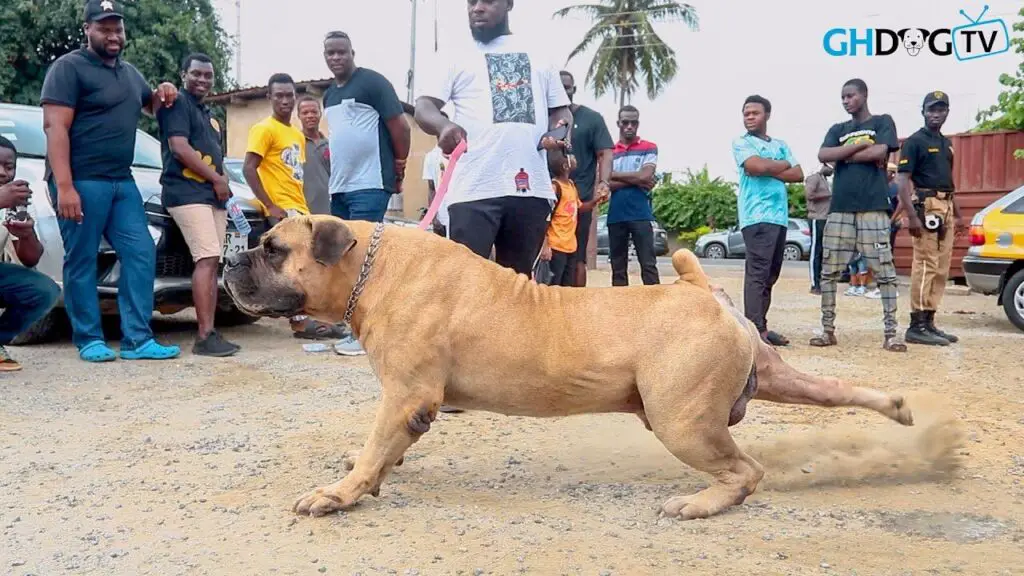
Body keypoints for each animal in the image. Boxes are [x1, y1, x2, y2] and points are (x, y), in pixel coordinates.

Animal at [224, 216, 913, 520]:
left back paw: (700, 504)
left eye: (273, 249)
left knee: (746, 470)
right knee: (838, 389)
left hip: (682, 421)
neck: (373, 268)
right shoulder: (408, 404)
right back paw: (900, 409)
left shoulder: (406, 396)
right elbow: (381, 452)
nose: (230, 261)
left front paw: (338, 495)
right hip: (768, 377)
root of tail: (705, 293)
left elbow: (373, 452)